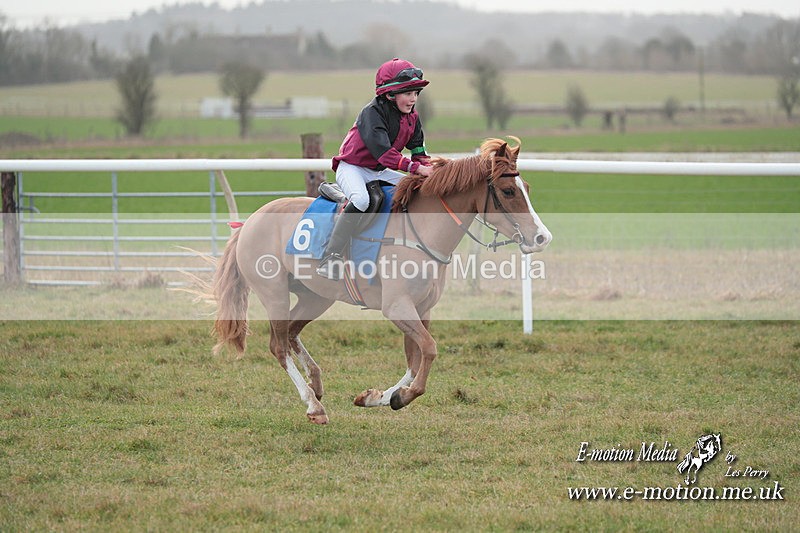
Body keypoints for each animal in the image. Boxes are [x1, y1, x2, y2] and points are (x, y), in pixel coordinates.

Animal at [210, 136, 552, 424]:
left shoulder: (422, 309)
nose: (541, 237)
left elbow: (415, 359)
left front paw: (378, 397)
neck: (420, 232)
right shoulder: (398, 307)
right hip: (275, 293)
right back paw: (313, 404)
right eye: (508, 191)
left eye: (527, 187)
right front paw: (402, 396)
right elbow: (429, 350)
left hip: (315, 296)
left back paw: (316, 382)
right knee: (278, 346)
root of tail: (249, 222)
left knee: (293, 333)